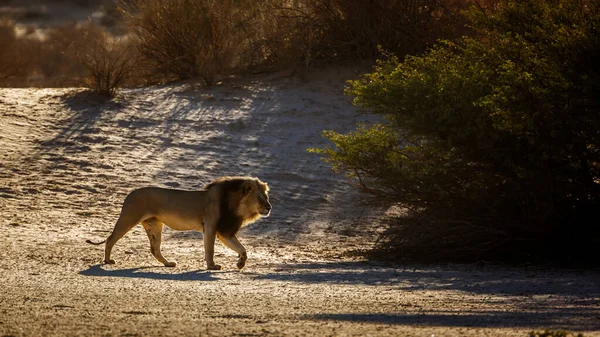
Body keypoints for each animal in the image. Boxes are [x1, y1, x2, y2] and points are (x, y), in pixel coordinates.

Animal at [85, 177, 272, 270]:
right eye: (260, 198)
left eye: (267, 196)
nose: (270, 207)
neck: (238, 206)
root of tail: (129, 194)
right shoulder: (211, 226)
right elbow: (210, 249)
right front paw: (212, 266)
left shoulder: (224, 231)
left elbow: (242, 248)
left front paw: (240, 263)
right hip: (129, 217)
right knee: (110, 239)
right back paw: (107, 261)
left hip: (154, 225)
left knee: (154, 249)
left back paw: (168, 264)